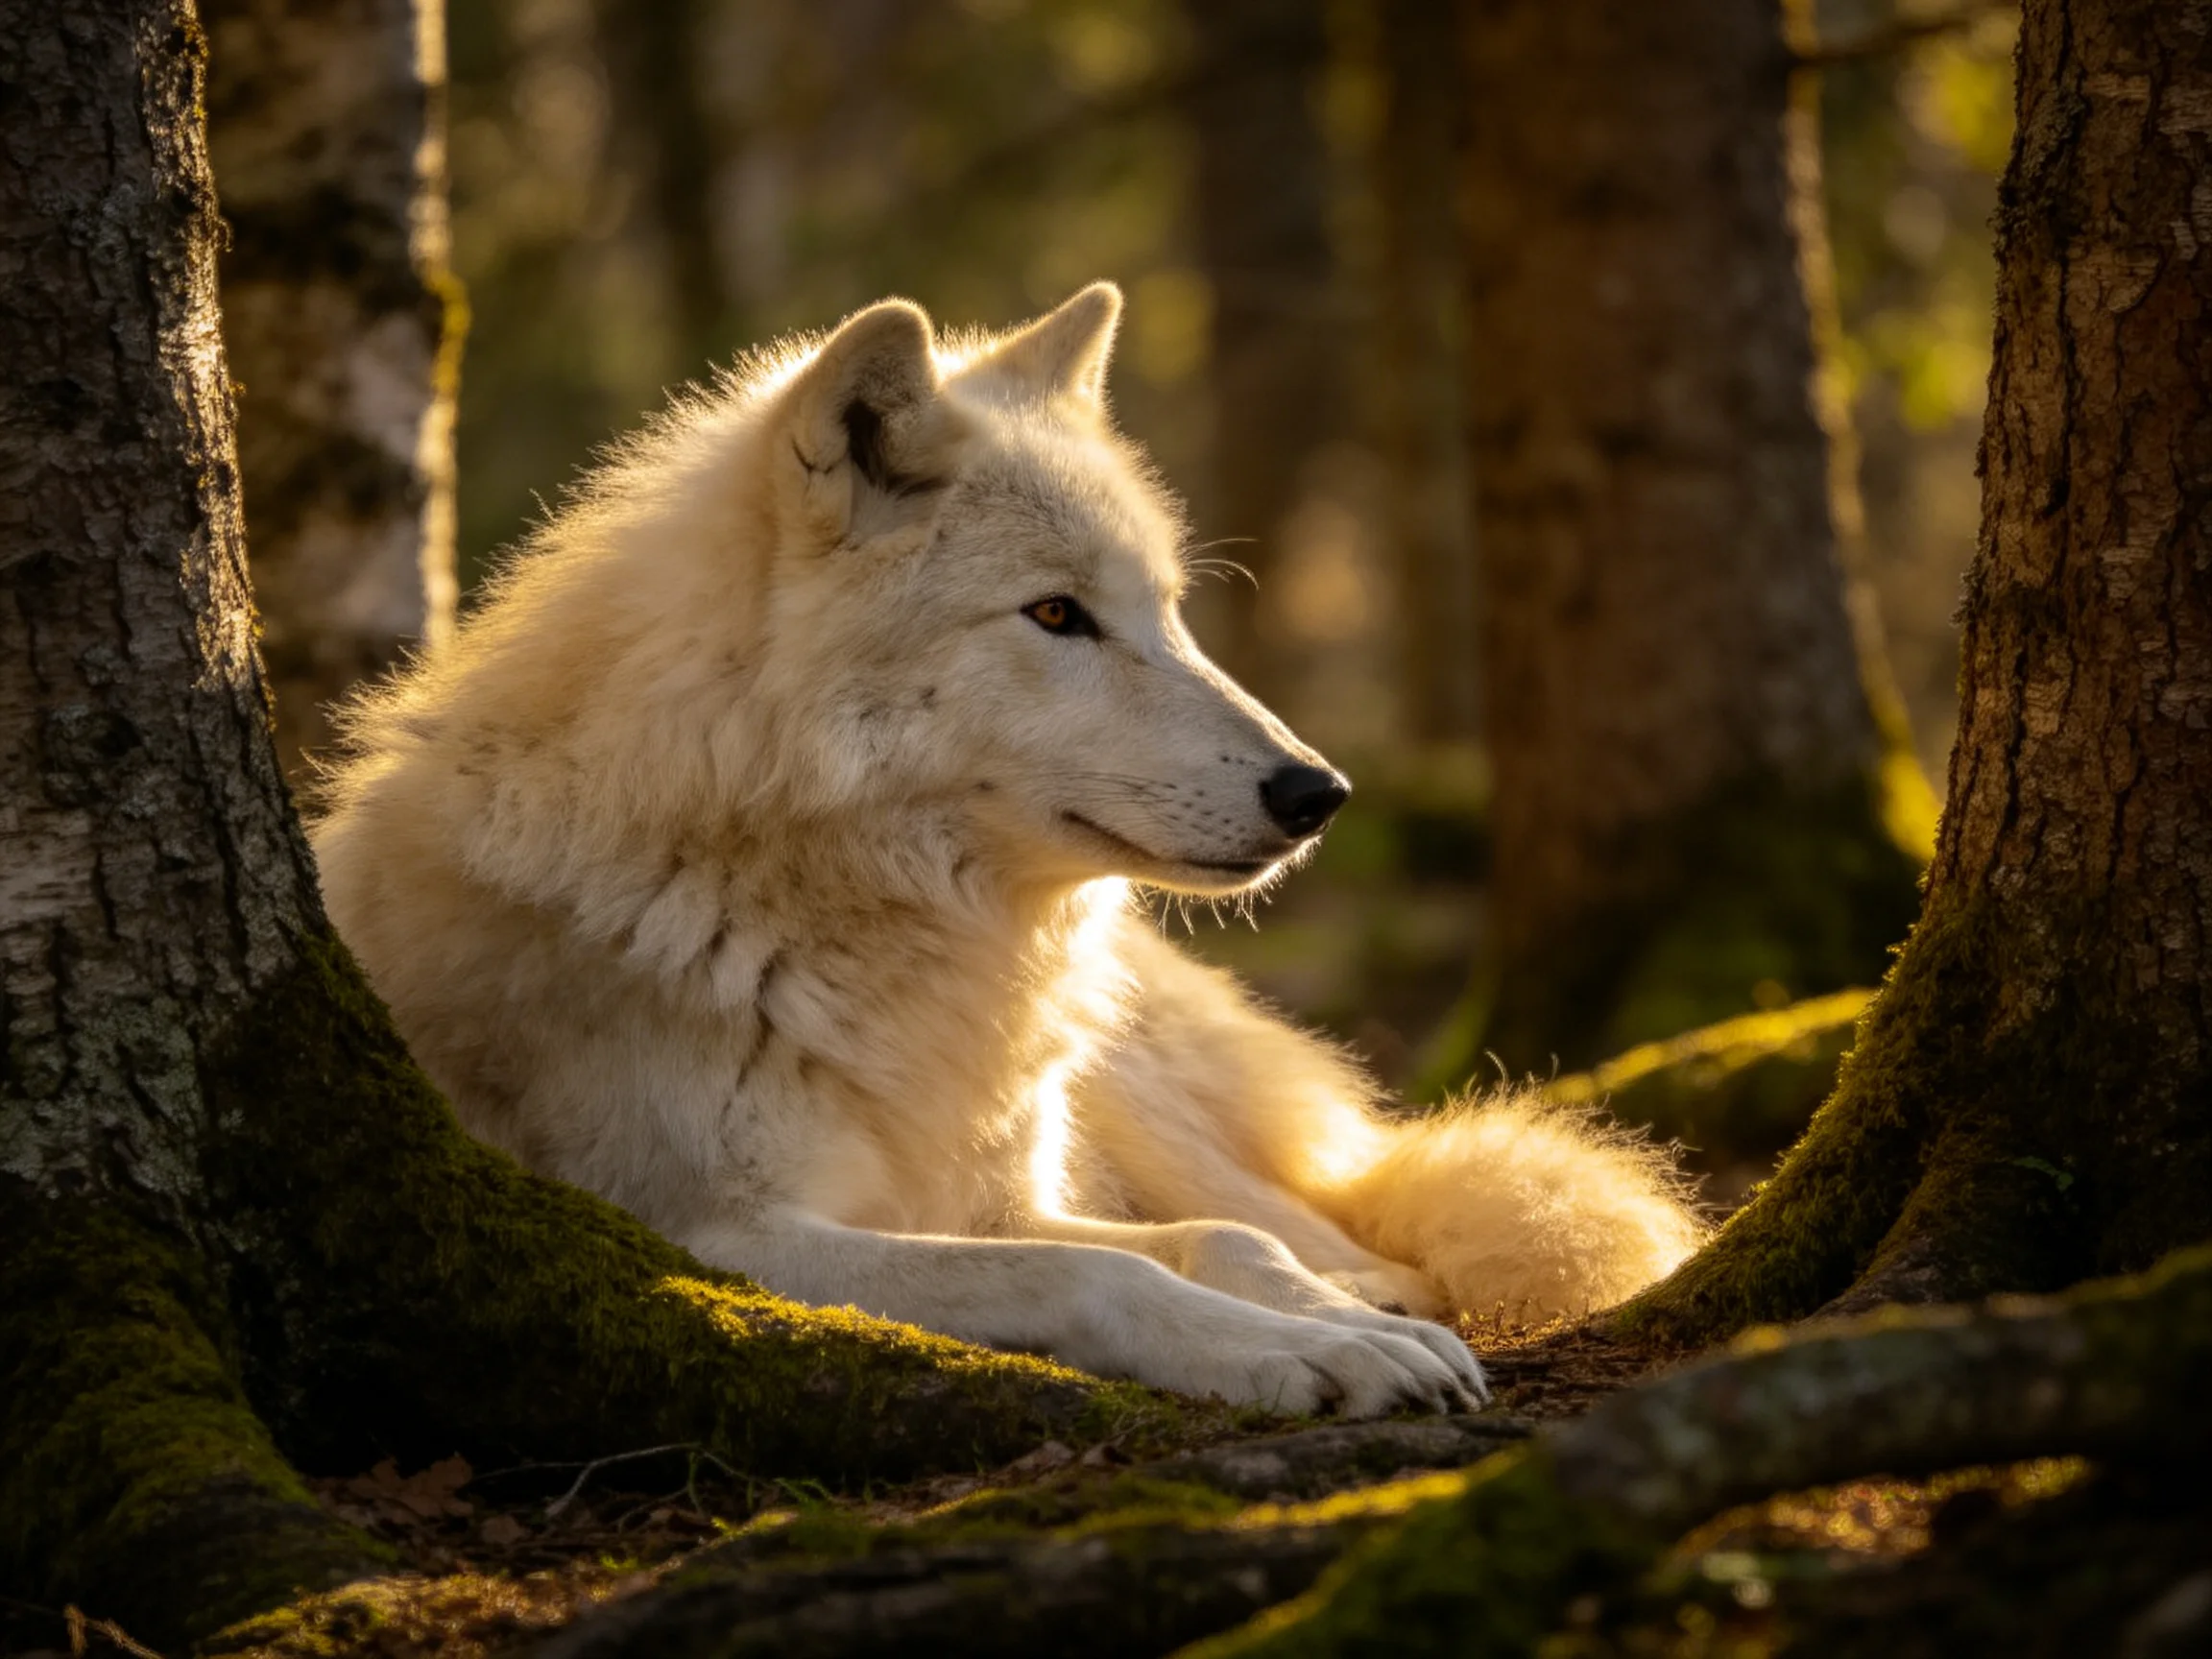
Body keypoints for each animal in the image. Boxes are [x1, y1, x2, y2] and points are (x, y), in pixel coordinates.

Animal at [312, 284, 1702, 1417]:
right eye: (1055, 615)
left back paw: (1381, 1289)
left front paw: (1343, 1327)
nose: (1320, 793)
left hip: (1128, 1094)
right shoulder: (710, 1239)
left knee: (1332, 1211)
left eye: (1168, 614)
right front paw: (1307, 1351)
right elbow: (1087, 1274)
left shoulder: (1004, 1194)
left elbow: (1221, 1244)